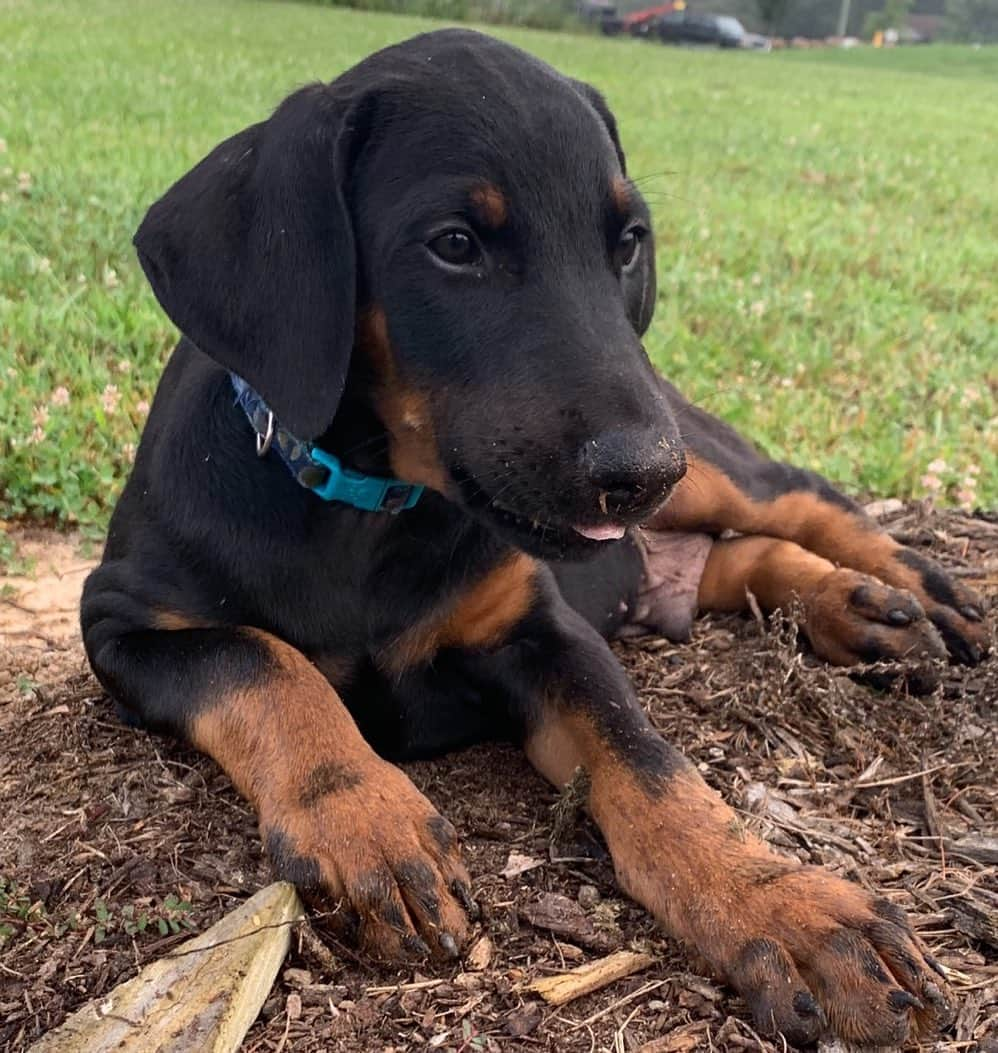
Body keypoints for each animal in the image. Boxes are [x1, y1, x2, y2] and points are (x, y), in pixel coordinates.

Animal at [82, 28, 985, 1048]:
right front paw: (369, 824)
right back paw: (859, 610)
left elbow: (650, 762)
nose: (643, 473)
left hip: (705, 458)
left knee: (797, 497)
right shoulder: (121, 620)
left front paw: (786, 903)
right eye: (455, 245)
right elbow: (267, 662)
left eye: (627, 242)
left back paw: (913, 588)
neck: (367, 502)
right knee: (735, 557)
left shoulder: (541, 630)